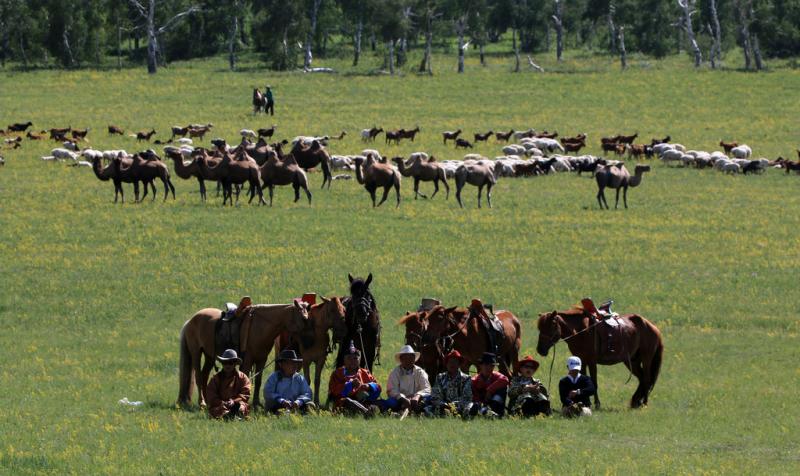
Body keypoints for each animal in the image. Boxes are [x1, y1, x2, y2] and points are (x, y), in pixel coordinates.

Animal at [536, 308, 664, 410]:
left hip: (646, 359)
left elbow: (594, 382)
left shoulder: (592, 361)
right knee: (642, 378)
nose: (540, 349)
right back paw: (636, 401)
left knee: (647, 379)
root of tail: (653, 327)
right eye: (540, 328)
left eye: (551, 325)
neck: (581, 331)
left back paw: (644, 403)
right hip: (632, 361)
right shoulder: (582, 361)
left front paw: (597, 404)